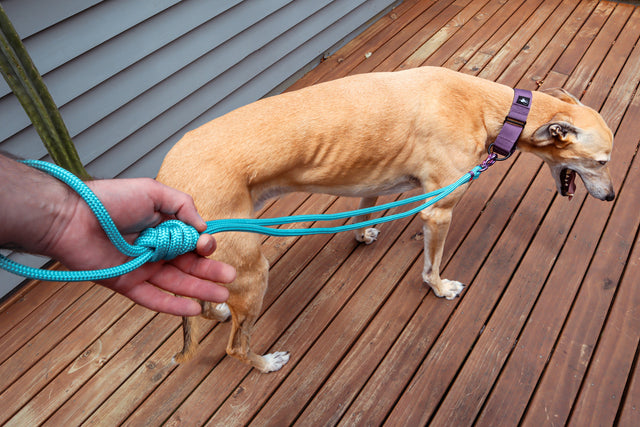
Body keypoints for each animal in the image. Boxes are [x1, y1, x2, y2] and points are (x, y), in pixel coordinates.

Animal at [156, 65, 616, 372]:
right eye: (602, 161)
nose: (612, 196)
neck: (493, 108)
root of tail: (165, 176)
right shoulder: (438, 210)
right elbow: (432, 266)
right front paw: (441, 288)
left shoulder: (373, 177)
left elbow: (367, 206)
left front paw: (364, 235)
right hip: (254, 270)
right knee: (235, 345)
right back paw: (266, 362)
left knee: (210, 306)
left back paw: (219, 310)